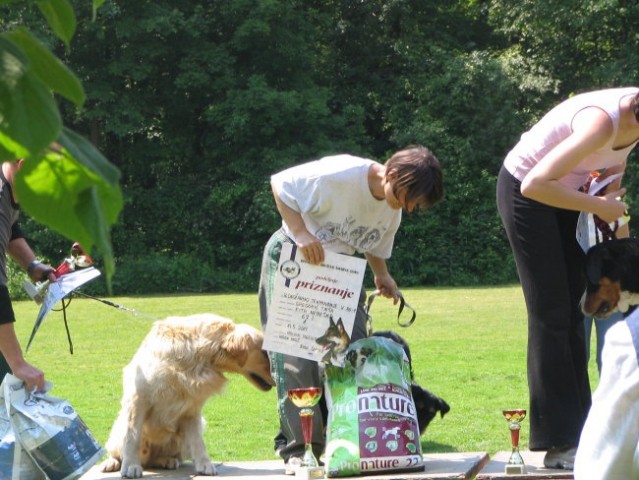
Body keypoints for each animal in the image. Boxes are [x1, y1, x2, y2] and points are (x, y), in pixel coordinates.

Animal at [100, 316, 272, 476]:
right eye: (264, 352)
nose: (276, 377)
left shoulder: (192, 409)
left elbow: (198, 441)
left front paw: (205, 464)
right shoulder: (138, 400)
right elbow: (132, 437)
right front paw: (131, 466)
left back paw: (168, 461)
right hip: (118, 428)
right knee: (117, 450)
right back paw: (112, 462)